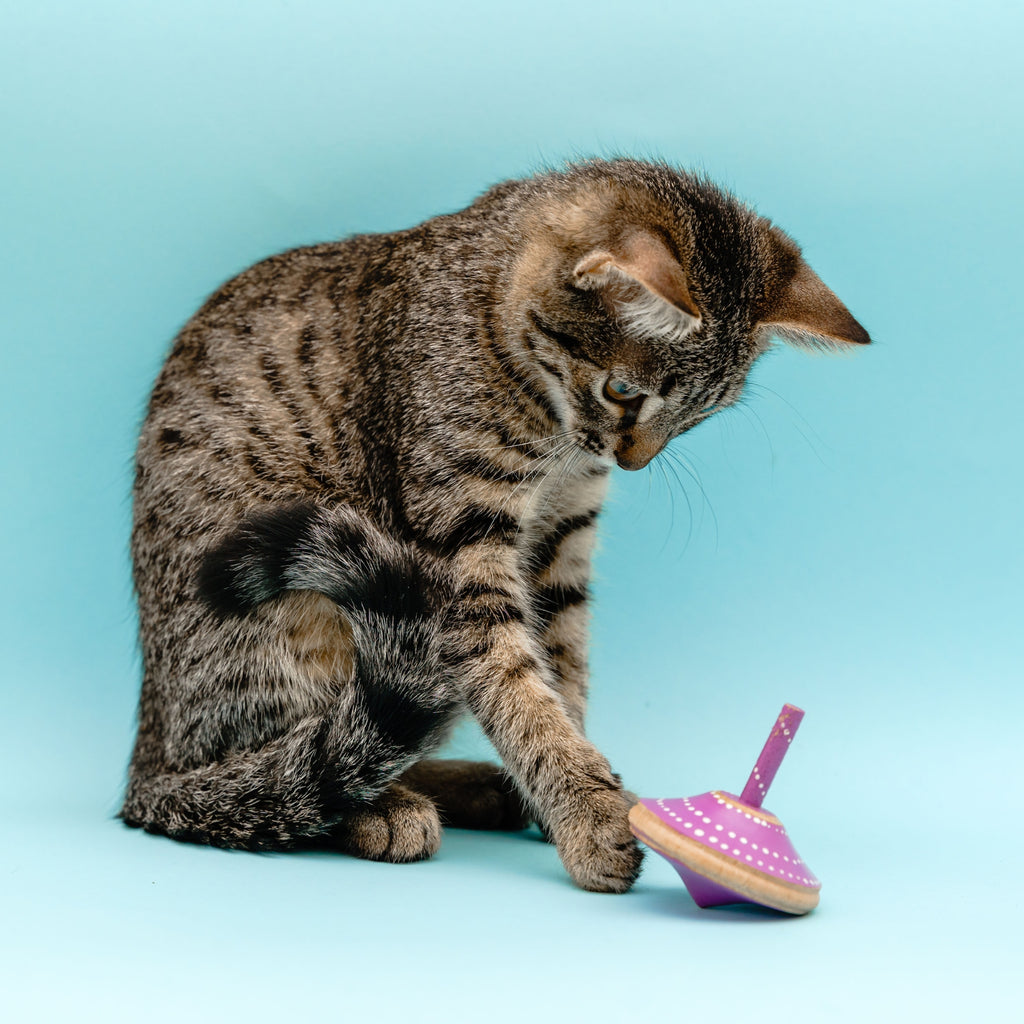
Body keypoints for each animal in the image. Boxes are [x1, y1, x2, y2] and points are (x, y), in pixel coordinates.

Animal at [121, 158, 869, 893]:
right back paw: (379, 807)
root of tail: (147, 755)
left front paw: (580, 787)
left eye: (695, 419)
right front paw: (587, 812)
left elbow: (563, 669)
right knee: (292, 765)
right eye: (623, 391)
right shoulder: (459, 550)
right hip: (292, 615)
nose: (631, 460)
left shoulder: (561, 540)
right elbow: (517, 688)